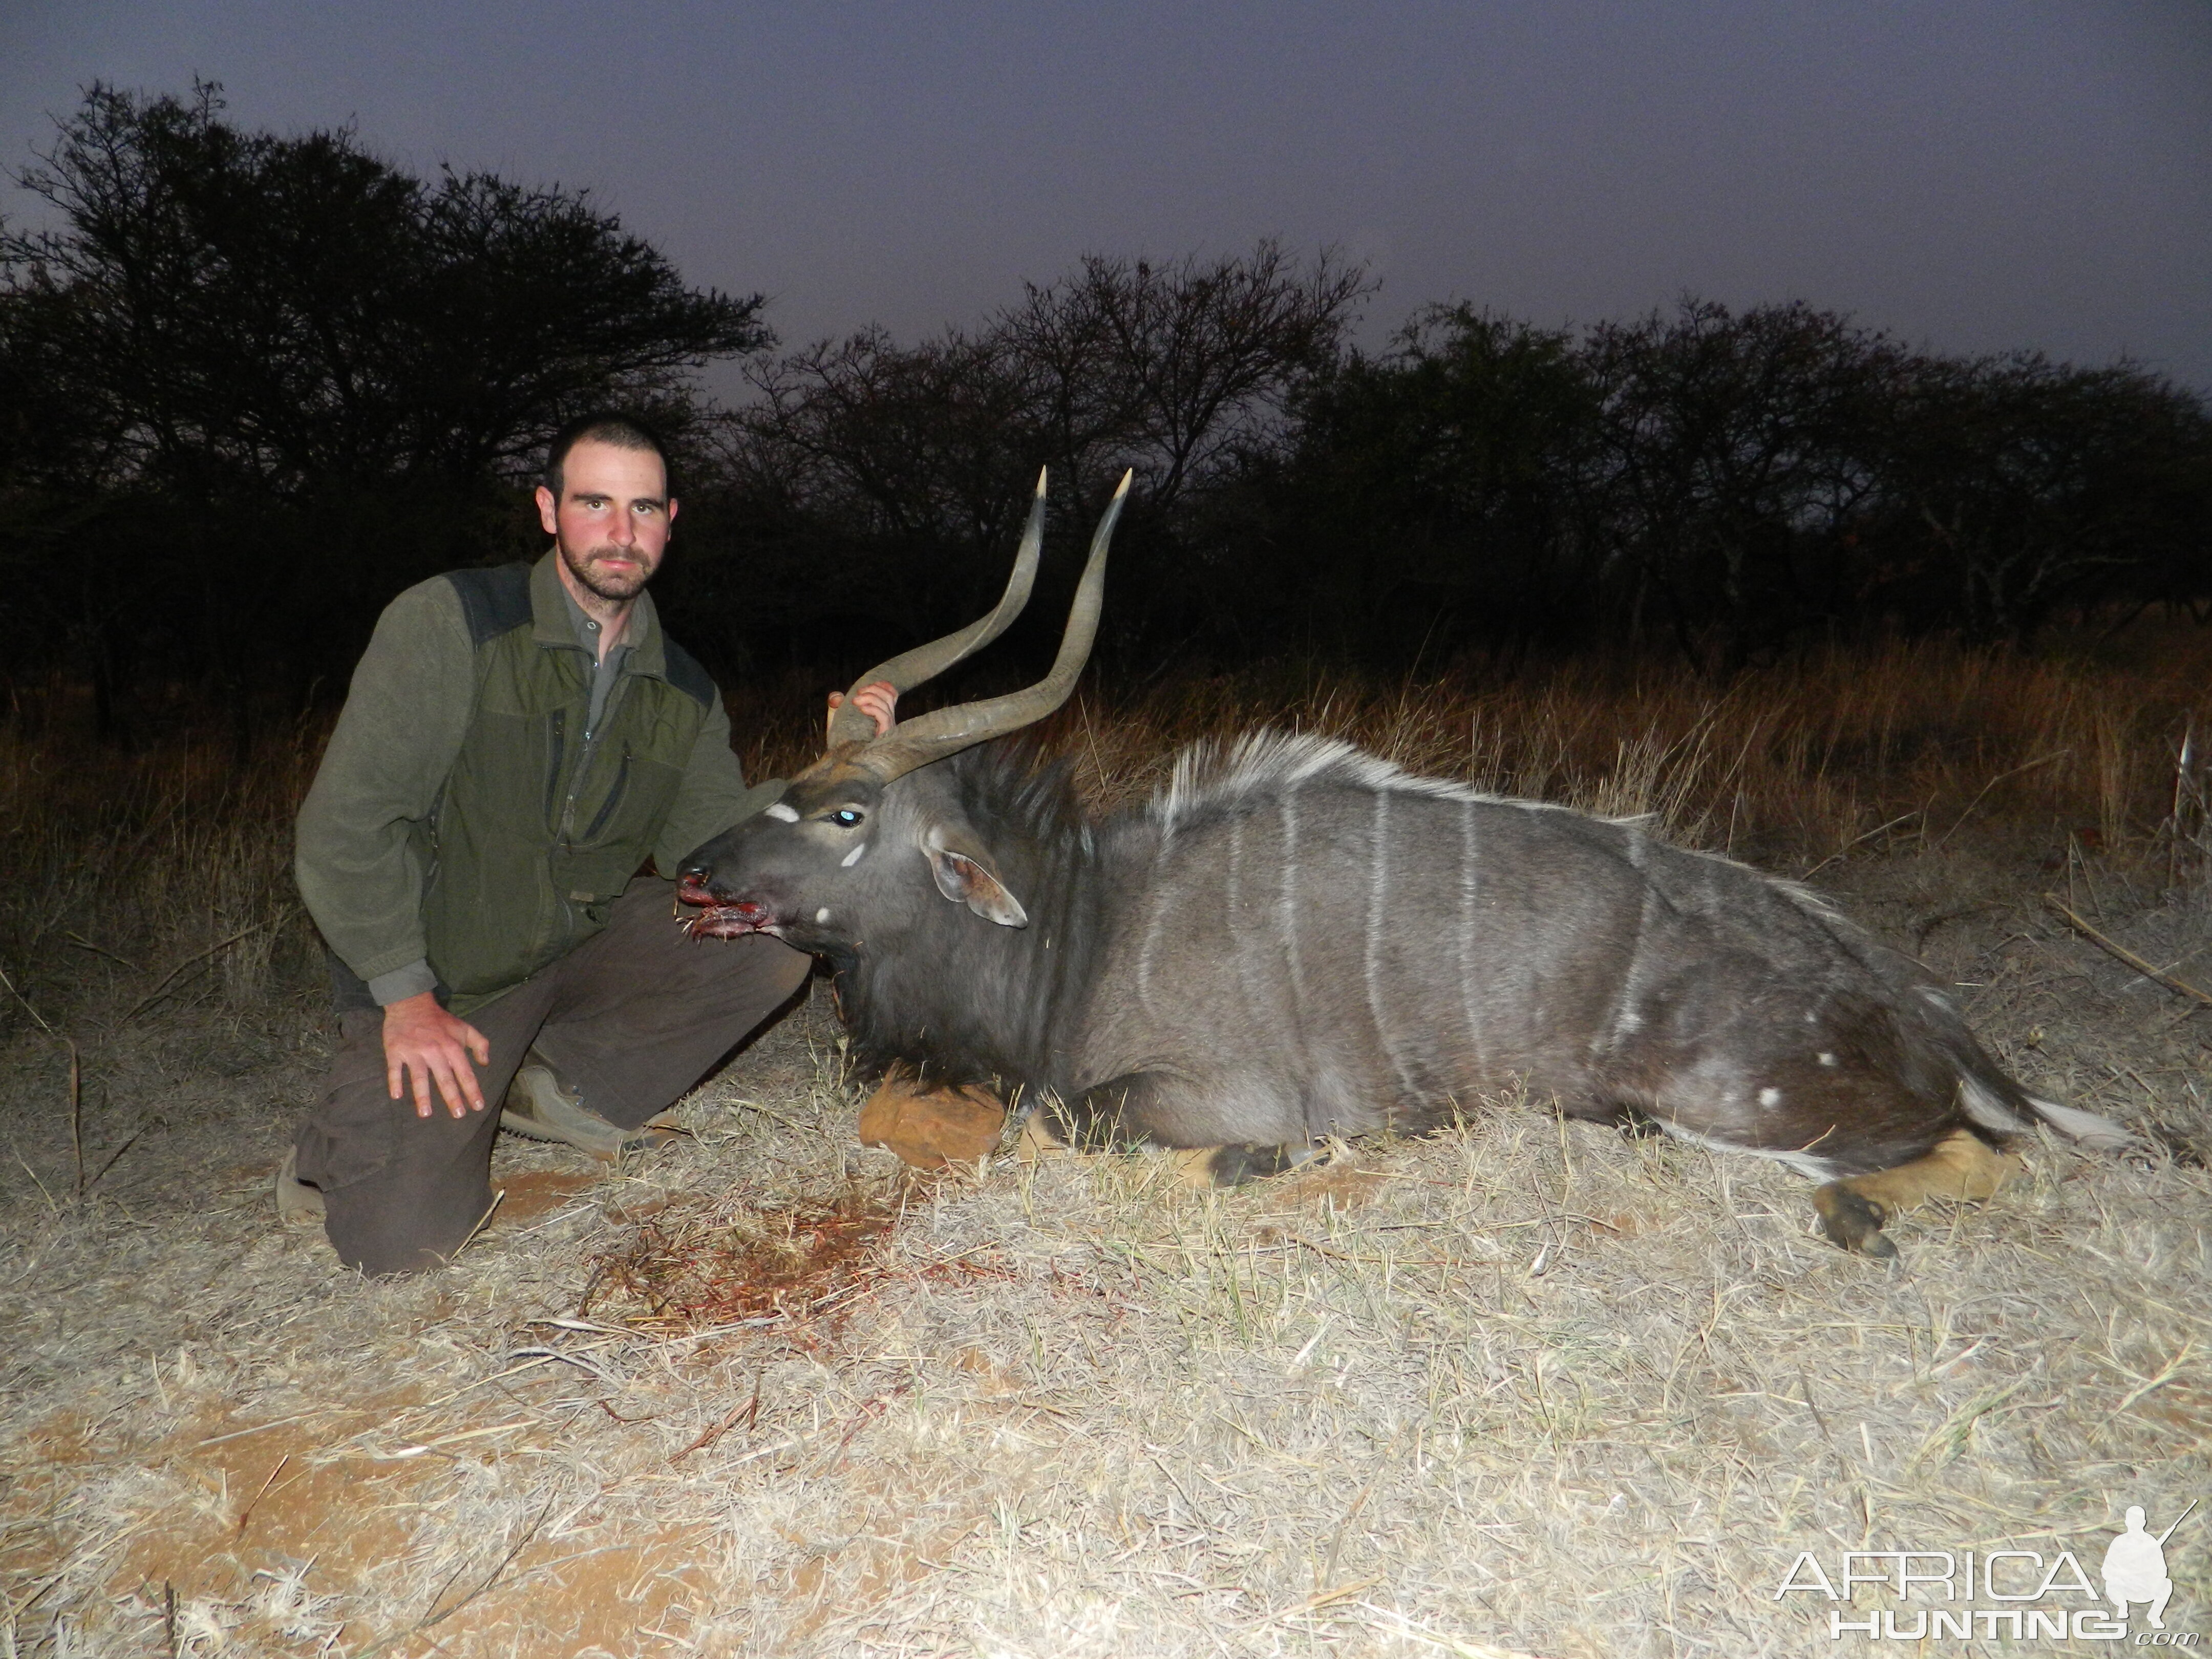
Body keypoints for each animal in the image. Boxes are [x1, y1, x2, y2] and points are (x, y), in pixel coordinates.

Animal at [681, 469, 2132, 1256]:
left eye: (845, 815)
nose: (694, 871)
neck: (1083, 929)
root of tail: (1918, 1004)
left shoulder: (1215, 1091)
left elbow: (1050, 1132)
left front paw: (1262, 1171)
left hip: (1737, 1101)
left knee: (1969, 1156)